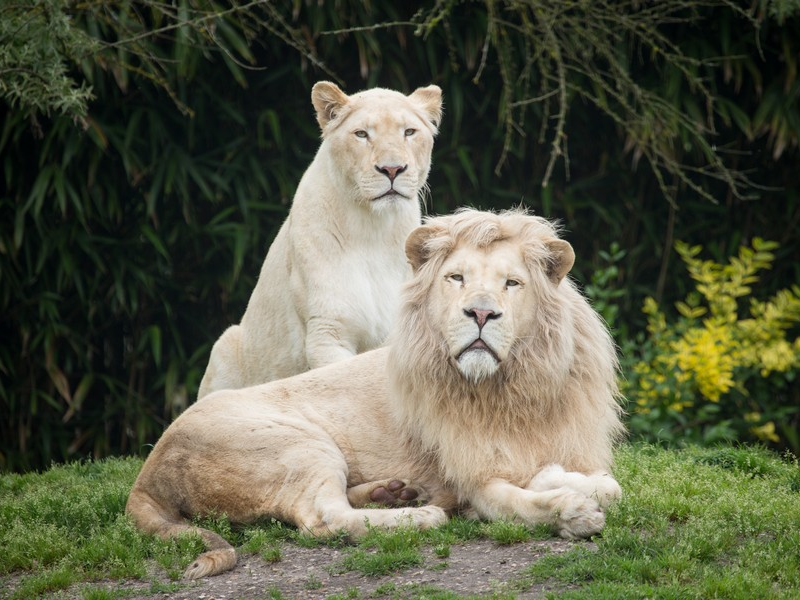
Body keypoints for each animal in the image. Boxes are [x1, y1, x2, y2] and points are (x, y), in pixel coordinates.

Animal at [127, 208, 625, 579]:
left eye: (512, 283)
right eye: (457, 279)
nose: (481, 313)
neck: (514, 388)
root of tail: (147, 471)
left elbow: (602, 484)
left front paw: (571, 482)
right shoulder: (474, 482)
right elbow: (522, 503)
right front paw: (572, 512)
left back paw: (397, 493)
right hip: (300, 444)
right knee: (324, 518)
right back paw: (419, 517)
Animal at [197, 81, 443, 399]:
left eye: (409, 132)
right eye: (362, 134)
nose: (392, 169)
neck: (374, 230)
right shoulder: (327, 333)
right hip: (225, 344)